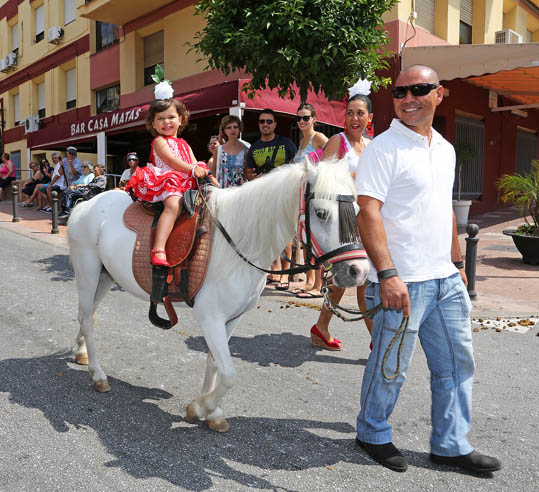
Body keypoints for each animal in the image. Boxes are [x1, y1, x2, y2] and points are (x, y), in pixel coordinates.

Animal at [67, 160, 370, 432]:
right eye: (321, 213)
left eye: (357, 210)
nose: (358, 271)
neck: (240, 243)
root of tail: (84, 205)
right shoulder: (210, 316)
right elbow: (228, 373)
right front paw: (201, 407)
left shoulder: (231, 319)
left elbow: (214, 363)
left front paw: (210, 413)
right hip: (88, 272)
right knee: (88, 318)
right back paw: (98, 375)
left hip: (105, 276)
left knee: (86, 315)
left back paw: (81, 352)